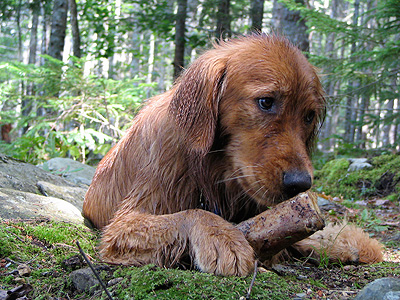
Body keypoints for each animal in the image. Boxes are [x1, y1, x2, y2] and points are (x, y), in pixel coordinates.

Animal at [82, 34, 382, 276]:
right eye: (266, 102)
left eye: (309, 116)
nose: (300, 184)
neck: (211, 171)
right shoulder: (122, 226)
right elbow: (193, 213)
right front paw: (222, 238)